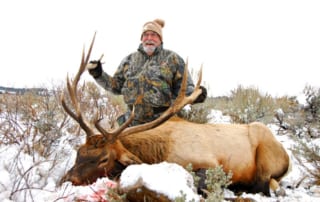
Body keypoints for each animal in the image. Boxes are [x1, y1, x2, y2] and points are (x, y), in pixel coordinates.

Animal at [60, 33, 290, 197]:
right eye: (79, 152)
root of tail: (287, 157)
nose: (65, 180)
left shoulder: (211, 163)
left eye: (103, 159)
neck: (159, 152)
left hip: (266, 153)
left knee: (263, 185)